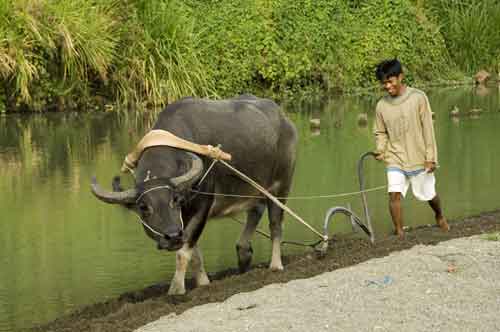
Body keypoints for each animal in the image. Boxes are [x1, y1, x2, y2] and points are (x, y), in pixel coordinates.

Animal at [91, 94, 296, 294]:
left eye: (175, 200)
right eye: (143, 207)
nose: (172, 236)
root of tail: (285, 120)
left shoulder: (202, 207)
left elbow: (184, 251)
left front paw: (176, 288)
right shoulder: (184, 218)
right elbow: (194, 253)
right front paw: (203, 282)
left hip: (281, 185)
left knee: (276, 224)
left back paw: (275, 265)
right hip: (255, 189)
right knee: (255, 211)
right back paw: (244, 254)